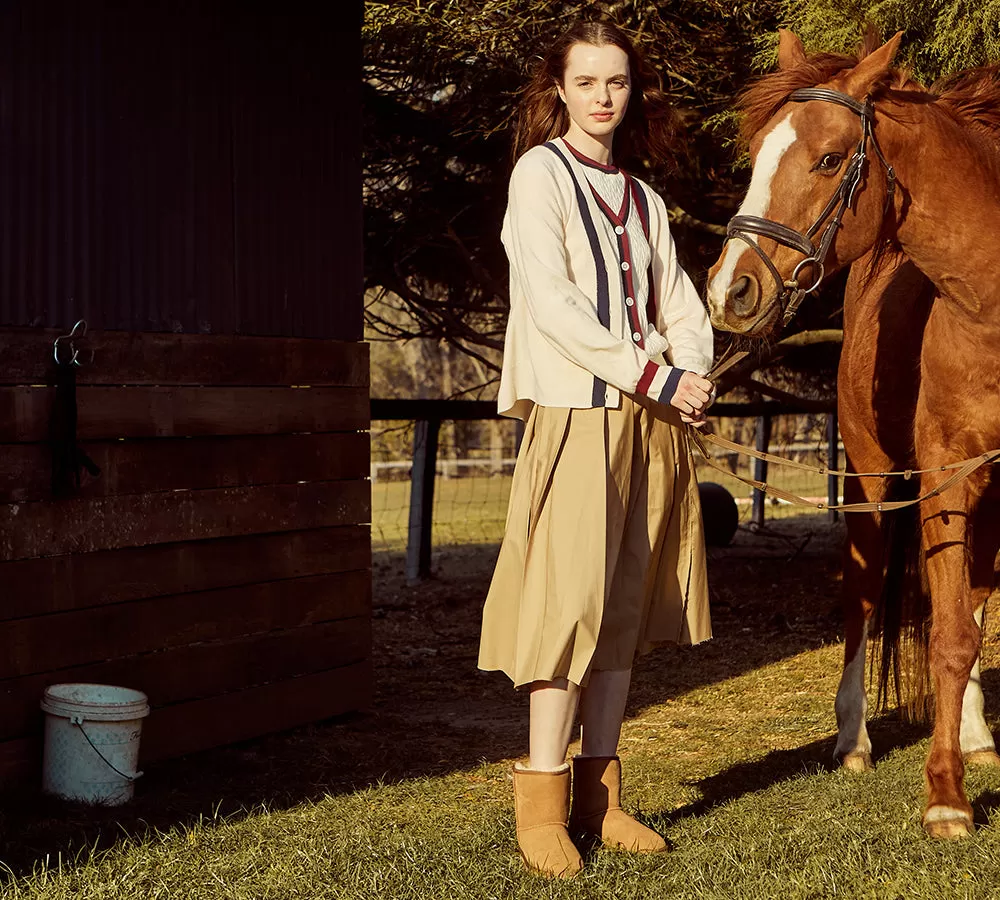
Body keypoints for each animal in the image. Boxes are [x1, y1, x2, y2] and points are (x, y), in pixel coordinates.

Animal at [704, 33, 1000, 836]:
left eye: (830, 160)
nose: (729, 289)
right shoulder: (944, 474)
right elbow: (948, 635)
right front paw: (946, 798)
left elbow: (967, 619)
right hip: (871, 483)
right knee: (865, 599)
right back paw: (854, 740)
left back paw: (976, 733)